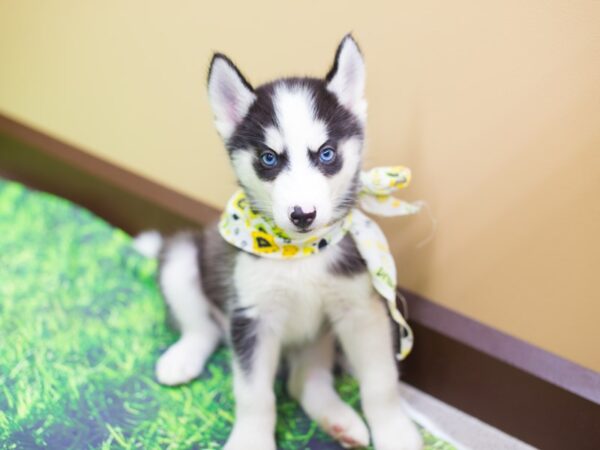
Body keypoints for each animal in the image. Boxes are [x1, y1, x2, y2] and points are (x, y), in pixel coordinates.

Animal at [141, 36, 422, 450]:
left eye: (327, 153)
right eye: (269, 158)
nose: (302, 215)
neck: (300, 253)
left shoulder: (360, 310)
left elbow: (381, 382)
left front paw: (395, 431)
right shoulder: (251, 317)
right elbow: (254, 395)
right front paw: (250, 441)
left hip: (320, 338)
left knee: (302, 381)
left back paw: (340, 421)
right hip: (184, 258)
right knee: (203, 327)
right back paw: (182, 357)